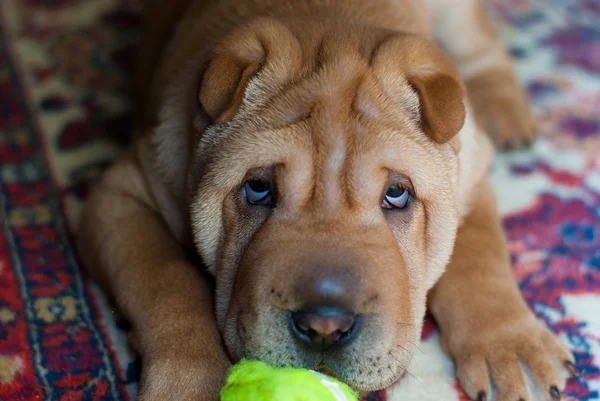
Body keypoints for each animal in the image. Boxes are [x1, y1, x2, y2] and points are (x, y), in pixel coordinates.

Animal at [77, 0, 576, 398]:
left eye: (397, 194)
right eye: (258, 188)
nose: (324, 326)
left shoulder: (469, 173)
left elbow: (479, 254)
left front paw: (511, 347)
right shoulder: (123, 192)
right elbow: (166, 283)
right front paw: (188, 385)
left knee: (481, 49)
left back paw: (508, 113)